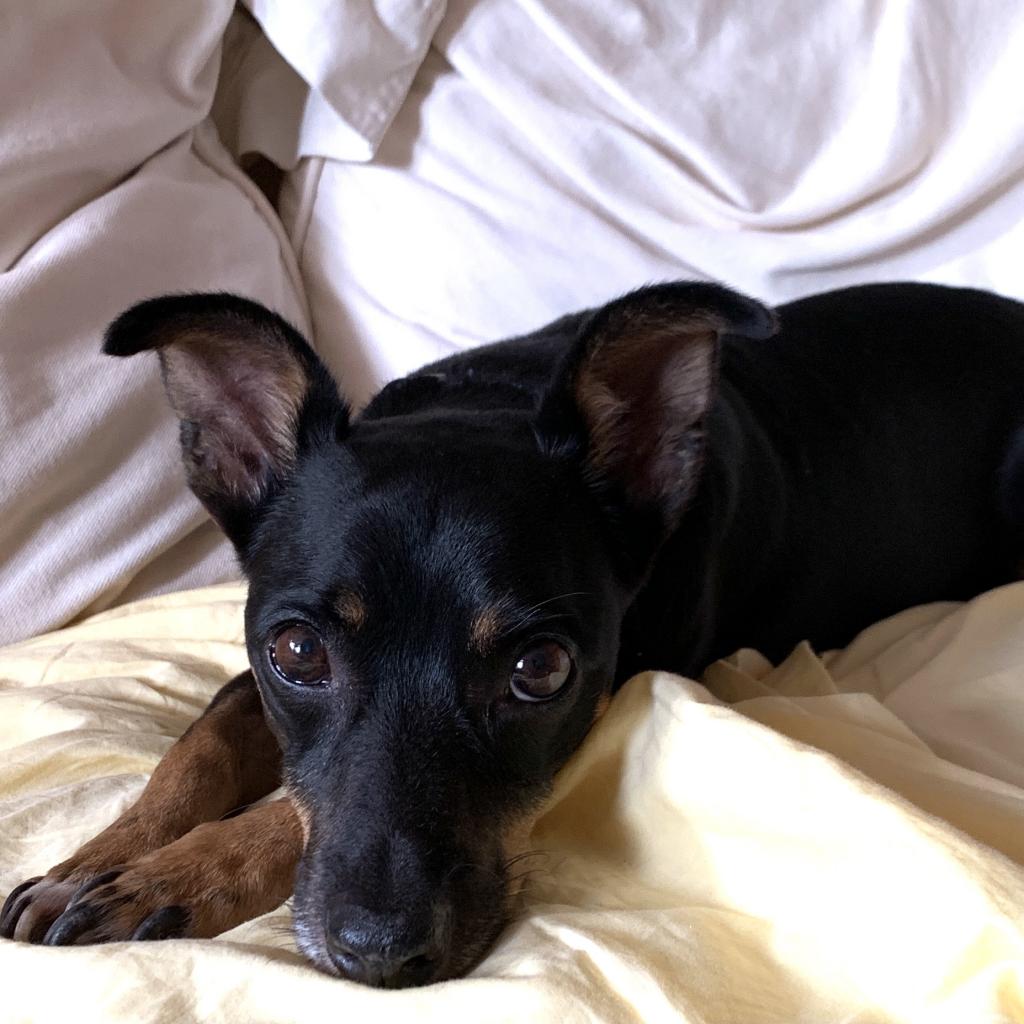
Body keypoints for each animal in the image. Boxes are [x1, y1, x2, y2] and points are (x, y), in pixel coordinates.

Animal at [2, 278, 1024, 983]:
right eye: (297, 652)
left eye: (540, 670)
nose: (380, 956)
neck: (483, 400)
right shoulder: (254, 667)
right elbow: (200, 752)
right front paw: (103, 859)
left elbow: (285, 813)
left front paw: (178, 877)